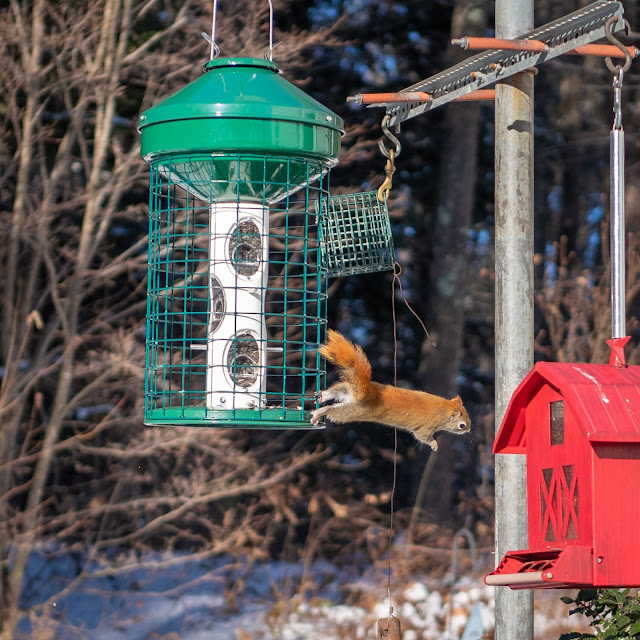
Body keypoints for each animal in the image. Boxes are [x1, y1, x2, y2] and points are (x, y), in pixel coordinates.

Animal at [310, 330, 470, 450]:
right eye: (461, 425)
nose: (468, 431)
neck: (444, 407)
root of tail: (368, 392)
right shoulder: (428, 427)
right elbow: (423, 437)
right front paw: (434, 445)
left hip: (349, 388)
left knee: (338, 390)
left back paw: (324, 395)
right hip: (353, 411)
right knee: (333, 411)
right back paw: (320, 411)